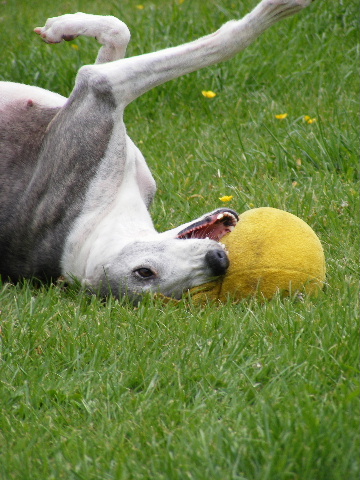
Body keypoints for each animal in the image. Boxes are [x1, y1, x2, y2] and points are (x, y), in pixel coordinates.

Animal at [0, 0, 312, 300]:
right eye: (144, 273)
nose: (218, 260)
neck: (98, 226)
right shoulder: (99, 94)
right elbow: (228, 39)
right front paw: (278, 9)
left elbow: (118, 32)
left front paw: (63, 26)